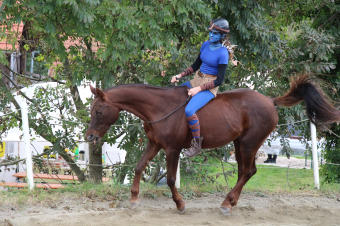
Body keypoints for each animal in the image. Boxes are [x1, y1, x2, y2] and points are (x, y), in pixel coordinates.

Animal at [86, 75, 338, 215]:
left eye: (98, 111)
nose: (90, 137)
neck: (159, 107)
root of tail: (269, 101)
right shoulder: (154, 144)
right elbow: (138, 167)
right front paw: (134, 199)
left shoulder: (172, 149)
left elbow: (170, 179)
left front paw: (180, 204)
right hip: (239, 144)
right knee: (244, 172)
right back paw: (231, 201)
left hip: (249, 144)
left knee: (248, 171)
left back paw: (227, 203)